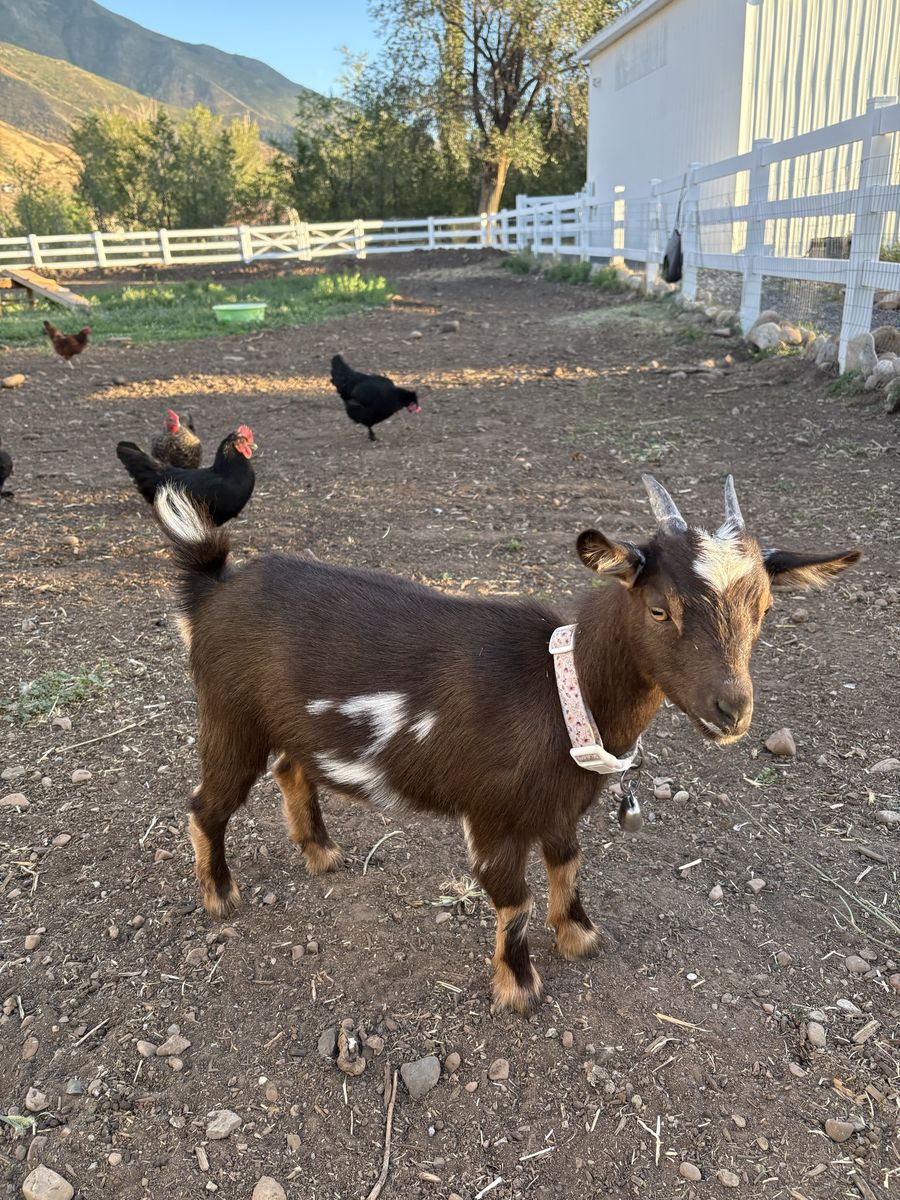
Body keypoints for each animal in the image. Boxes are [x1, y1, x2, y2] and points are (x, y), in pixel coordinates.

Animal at [154, 476, 860, 1013]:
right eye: (660, 609)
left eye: (764, 609)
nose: (731, 712)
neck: (559, 691)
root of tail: (215, 587)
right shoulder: (492, 815)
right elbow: (511, 899)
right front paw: (518, 987)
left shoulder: (560, 809)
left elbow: (568, 864)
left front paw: (579, 936)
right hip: (228, 718)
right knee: (206, 803)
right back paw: (220, 896)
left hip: (289, 727)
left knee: (293, 770)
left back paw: (322, 854)